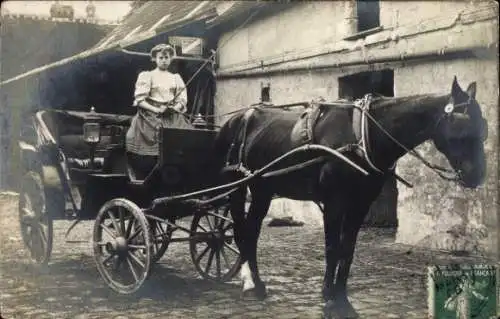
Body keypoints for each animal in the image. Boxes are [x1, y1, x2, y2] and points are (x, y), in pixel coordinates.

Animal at [213, 78, 486, 319]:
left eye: (482, 125)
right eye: (462, 125)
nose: (477, 176)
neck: (361, 135)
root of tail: (236, 119)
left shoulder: (360, 204)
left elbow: (348, 250)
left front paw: (343, 300)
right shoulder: (334, 202)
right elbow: (332, 248)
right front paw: (329, 299)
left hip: (263, 189)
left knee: (250, 232)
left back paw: (255, 283)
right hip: (239, 186)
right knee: (243, 231)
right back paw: (254, 284)